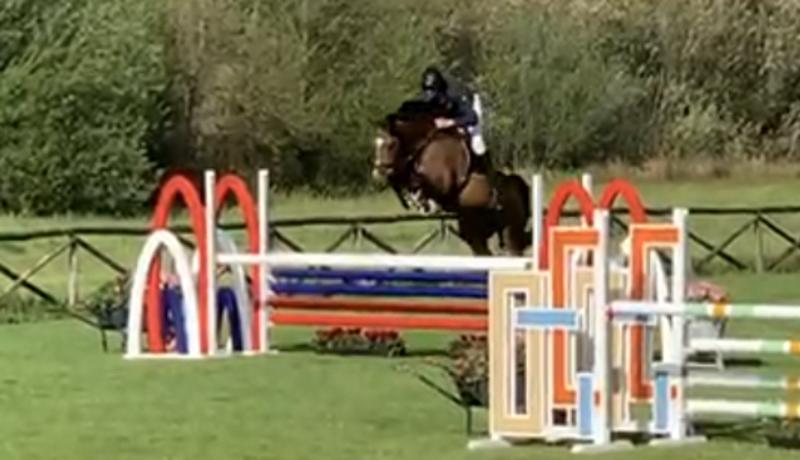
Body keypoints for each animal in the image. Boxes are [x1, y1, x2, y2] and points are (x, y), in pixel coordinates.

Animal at [372, 102, 532, 256]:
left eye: (390, 145)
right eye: (375, 145)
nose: (377, 176)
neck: (425, 145)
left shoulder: (442, 183)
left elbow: (419, 180)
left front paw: (426, 203)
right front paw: (416, 200)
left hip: (510, 231)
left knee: (513, 249)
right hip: (475, 234)